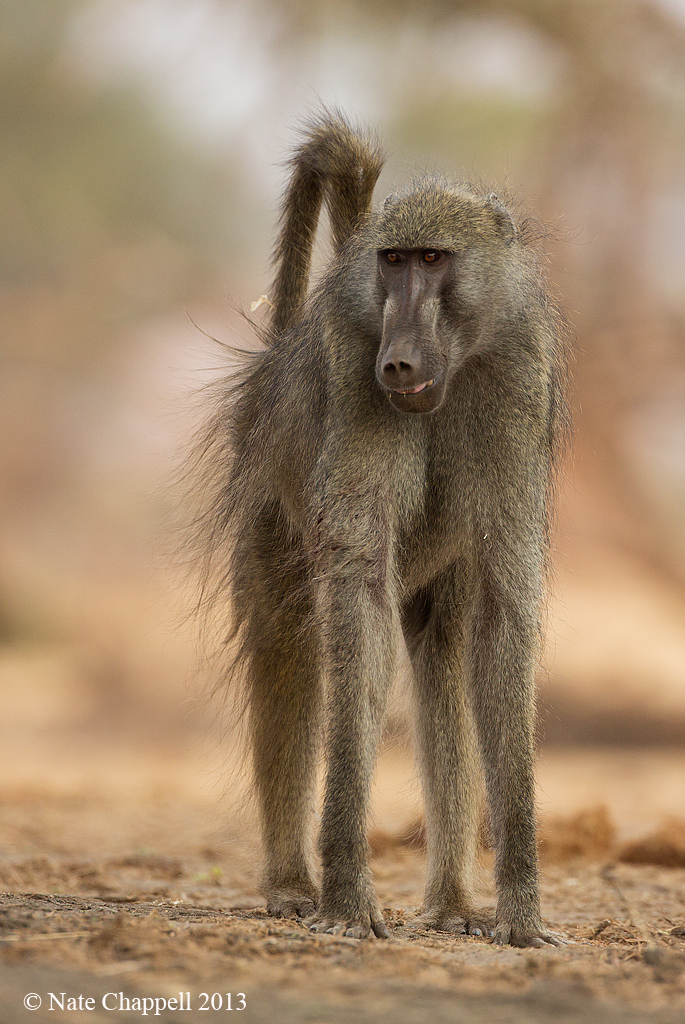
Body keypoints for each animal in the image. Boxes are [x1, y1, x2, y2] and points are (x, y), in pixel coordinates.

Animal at [190, 111, 570, 947]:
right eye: (391, 263)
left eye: (432, 260)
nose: (396, 362)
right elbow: (357, 605)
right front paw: (343, 895)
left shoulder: (515, 380)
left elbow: (498, 620)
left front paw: (521, 909)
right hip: (269, 505)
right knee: (290, 650)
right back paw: (291, 885)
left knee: (441, 653)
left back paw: (452, 900)